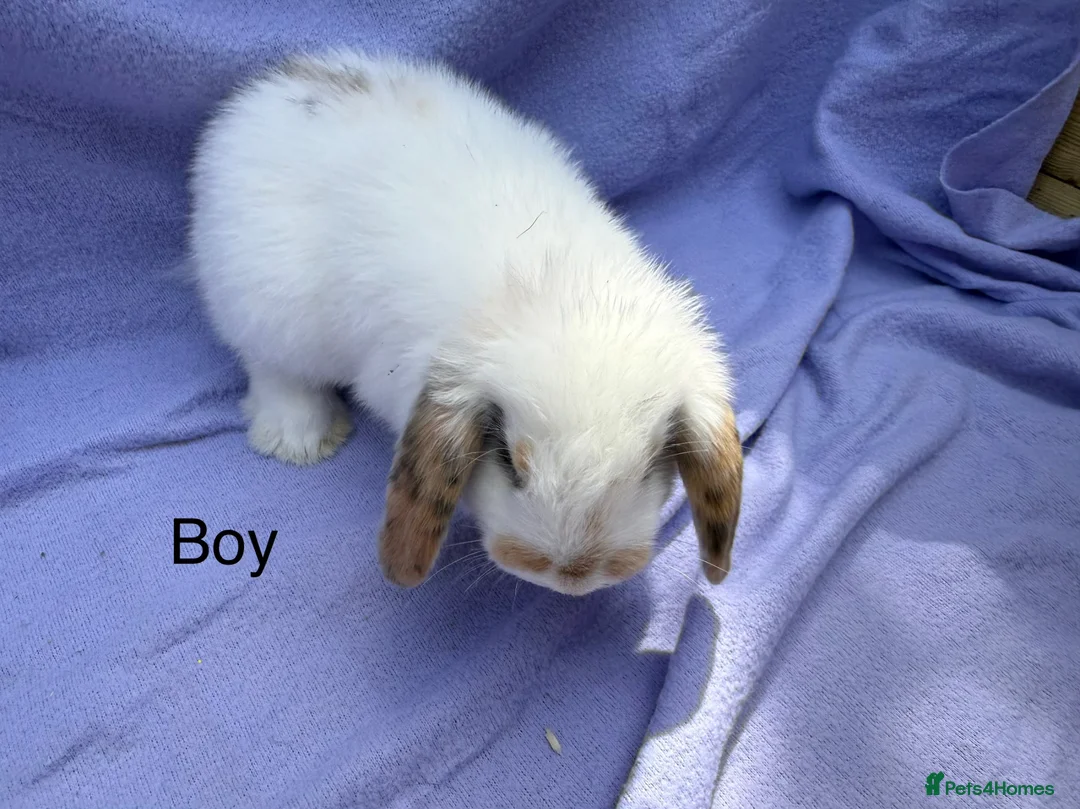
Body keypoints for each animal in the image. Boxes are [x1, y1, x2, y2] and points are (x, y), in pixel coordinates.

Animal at [188, 49, 743, 596]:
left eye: (649, 467)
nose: (570, 574)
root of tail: (258, 101)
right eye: (507, 460)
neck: (566, 290)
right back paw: (302, 441)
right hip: (270, 312)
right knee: (274, 371)